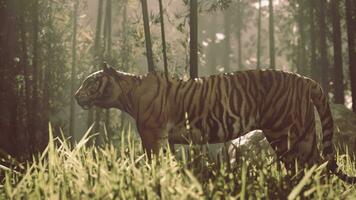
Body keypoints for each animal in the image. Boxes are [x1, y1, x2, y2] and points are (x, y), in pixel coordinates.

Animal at [74, 63, 356, 184]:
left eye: (90, 83)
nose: (76, 96)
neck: (127, 95)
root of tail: (306, 79)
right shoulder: (164, 139)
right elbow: (167, 162)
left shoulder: (152, 135)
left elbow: (152, 162)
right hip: (304, 134)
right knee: (316, 166)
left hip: (285, 134)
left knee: (308, 166)